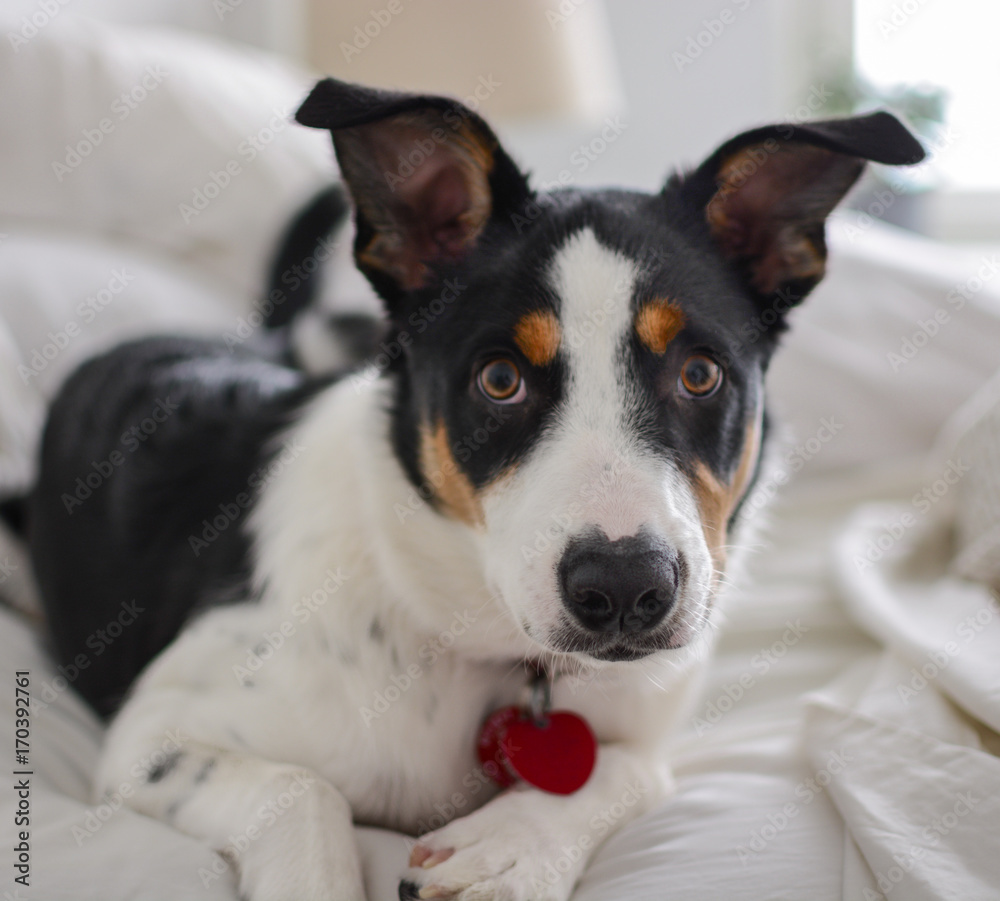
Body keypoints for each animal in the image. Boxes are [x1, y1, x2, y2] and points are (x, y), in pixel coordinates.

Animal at [27, 79, 924, 900]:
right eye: (500, 379)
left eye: (700, 373)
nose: (626, 589)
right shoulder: (155, 731)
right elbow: (303, 790)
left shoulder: (647, 719)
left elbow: (632, 768)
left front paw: (514, 847)